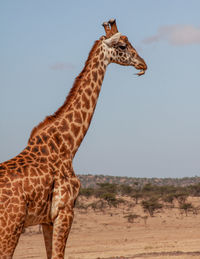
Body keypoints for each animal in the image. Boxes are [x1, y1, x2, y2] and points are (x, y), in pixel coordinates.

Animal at [0, 19, 147, 258]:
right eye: (123, 46)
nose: (143, 64)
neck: (69, 145)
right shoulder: (65, 211)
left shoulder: (47, 219)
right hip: (10, 227)